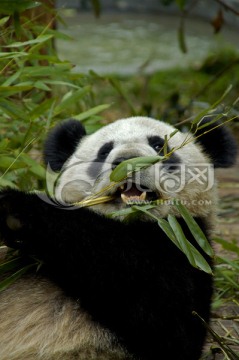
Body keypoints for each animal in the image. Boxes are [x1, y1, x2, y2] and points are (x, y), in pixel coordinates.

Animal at [0, 116, 237, 360]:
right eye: (104, 151)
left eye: (159, 146)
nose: (128, 162)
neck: (130, 223)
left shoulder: (186, 245)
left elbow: (166, 317)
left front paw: (20, 208)